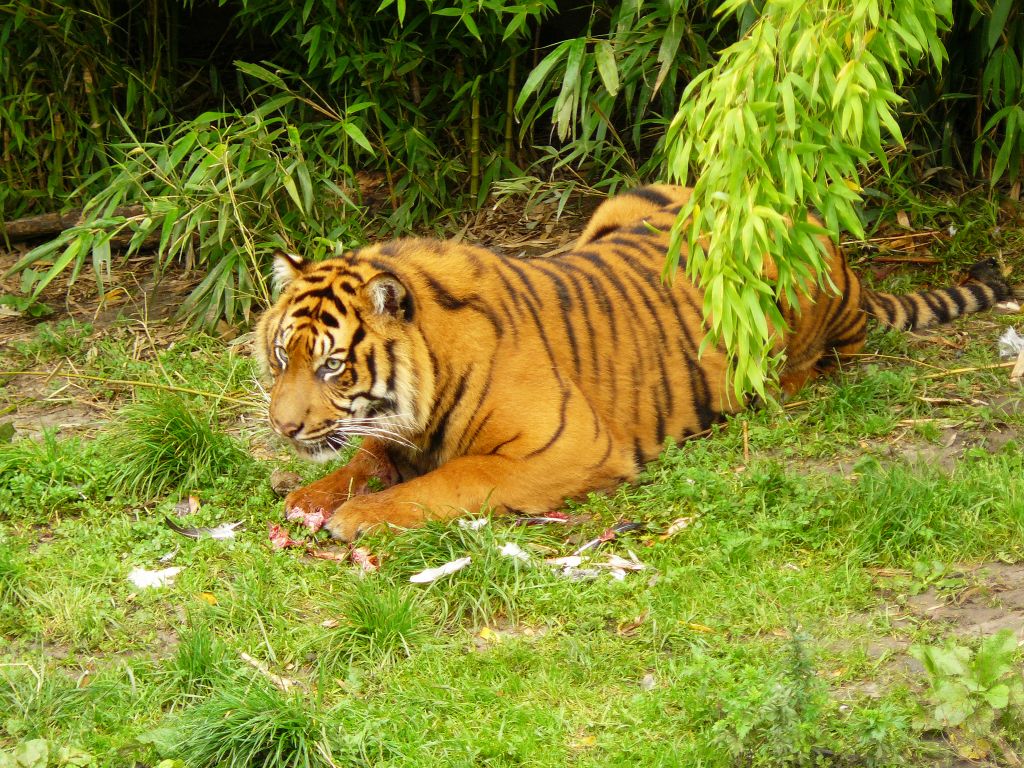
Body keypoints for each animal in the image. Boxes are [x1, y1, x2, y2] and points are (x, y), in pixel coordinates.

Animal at [258, 184, 1015, 540]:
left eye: (332, 368)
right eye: (281, 358)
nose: (284, 429)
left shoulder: (565, 447)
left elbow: (451, 480)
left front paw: (360, 517)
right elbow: (363, 458)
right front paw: (311, 497)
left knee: (824, 360)